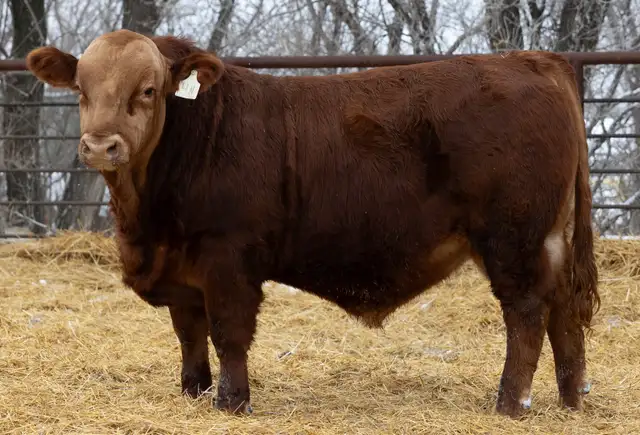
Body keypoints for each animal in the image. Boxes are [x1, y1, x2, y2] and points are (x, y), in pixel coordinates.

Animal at [25, 29, 599, 419]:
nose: (101, 145)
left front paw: (231, 401)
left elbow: (228, 332)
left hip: (514, 238)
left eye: (147, 90)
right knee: (564, 311)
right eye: (80, 88)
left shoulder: (228, 259)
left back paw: (511, 403)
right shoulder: (182, 269)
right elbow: (189, 333)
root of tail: (531, 60)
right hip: (549, 239)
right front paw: (193, 391)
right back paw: (571, 397)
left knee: (526, 314)